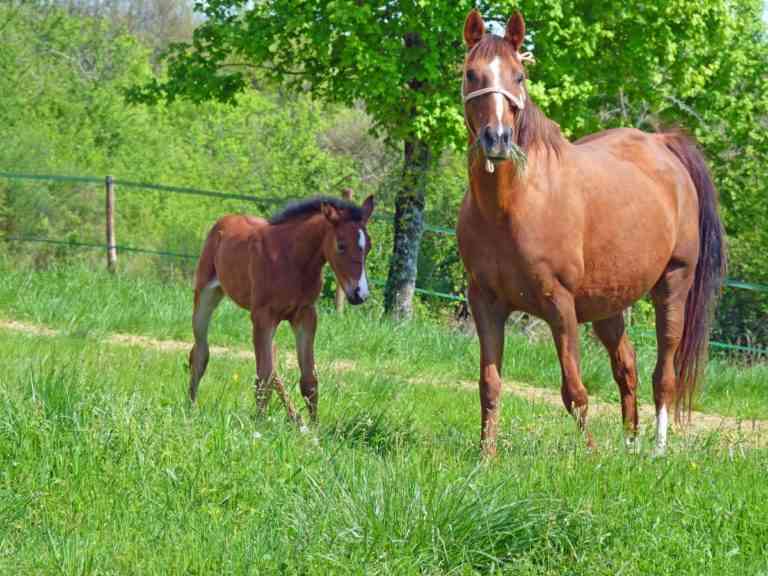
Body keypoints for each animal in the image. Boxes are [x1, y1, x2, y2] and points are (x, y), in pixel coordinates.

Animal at [187, 195, 375, 424]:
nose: (360, 294)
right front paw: (258, 423)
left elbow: (309, 379)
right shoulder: (263, 315)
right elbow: (264, 377)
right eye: (341, 245)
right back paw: (191, 408)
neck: (293, 260)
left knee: (273, 361)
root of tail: (224, 220)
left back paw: (297, 420)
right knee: (200, 352)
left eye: (369, 247)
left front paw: (314, 427)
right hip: (207, 294)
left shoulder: (305, 315)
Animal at [458, 10, 726, 456]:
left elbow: (574, 391)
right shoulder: (486, 303)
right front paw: (486, 458)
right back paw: (630, 446)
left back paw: (656, 449)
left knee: (664, 375)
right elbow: (489, 384)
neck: (512, 206)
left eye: (519, 76)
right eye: (471, 74)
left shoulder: (560, 306)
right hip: (608, 303)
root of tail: (662, 144)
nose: (497, 139)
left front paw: (590, 456)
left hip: (673, 285)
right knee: (627, 367)